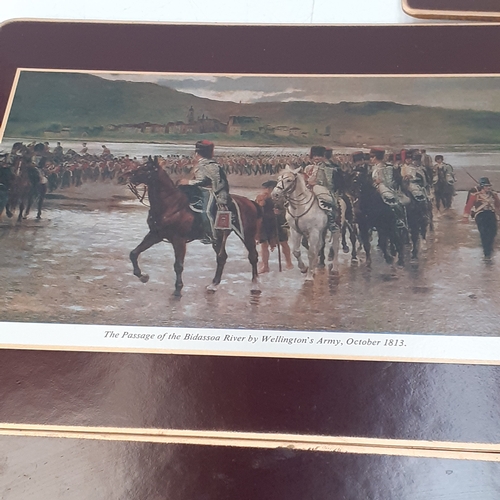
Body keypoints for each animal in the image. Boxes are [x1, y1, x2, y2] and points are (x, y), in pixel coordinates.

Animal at [125, 156, 262, 294]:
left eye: (146, 168)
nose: (128, 175)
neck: (170, 204)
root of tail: (249, 202)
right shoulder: (155, 235)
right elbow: (134, 253)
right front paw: (142, 276)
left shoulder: (179, 240)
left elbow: (178, 265)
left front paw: (178, 289)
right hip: (218, 238)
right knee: (222, 258)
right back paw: (213, 284)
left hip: (247, 236)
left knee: (253, 256)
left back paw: (255, 285)